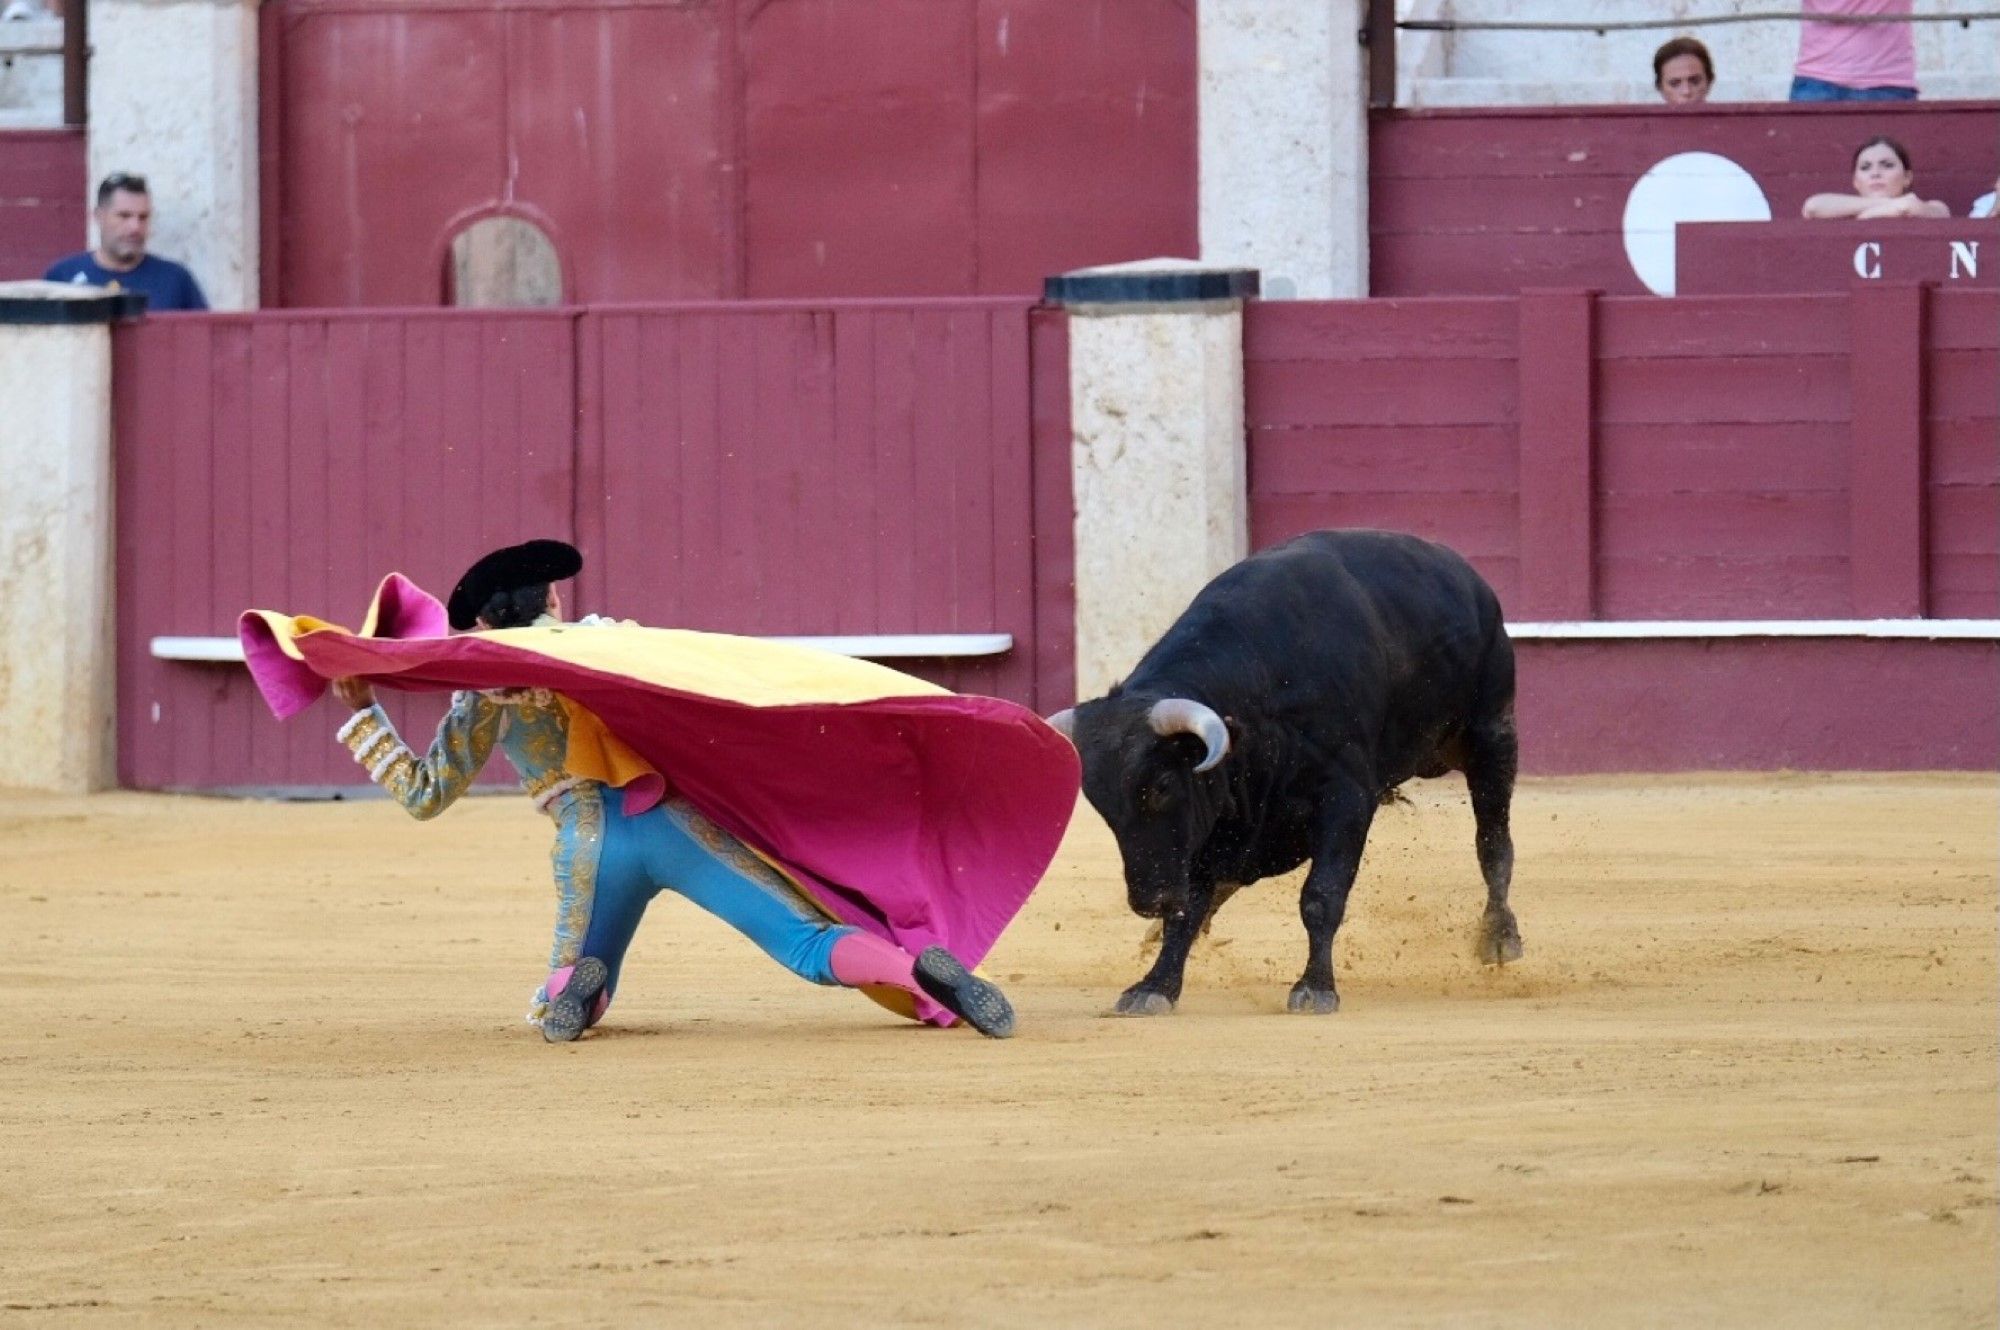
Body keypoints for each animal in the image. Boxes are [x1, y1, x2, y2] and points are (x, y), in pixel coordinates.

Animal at [1048, 524, 1512, 1012]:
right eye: (1099, 803)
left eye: (1161, 785)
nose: (1148, 901)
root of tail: (1465, 574)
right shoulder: (1213, 822)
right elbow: (1189, 908)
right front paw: (1154, 985)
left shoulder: (1345, 798)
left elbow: (1321, 895)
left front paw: (1315, 987)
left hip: (1491, 733)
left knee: (1493, 842)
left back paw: (1499, 937)